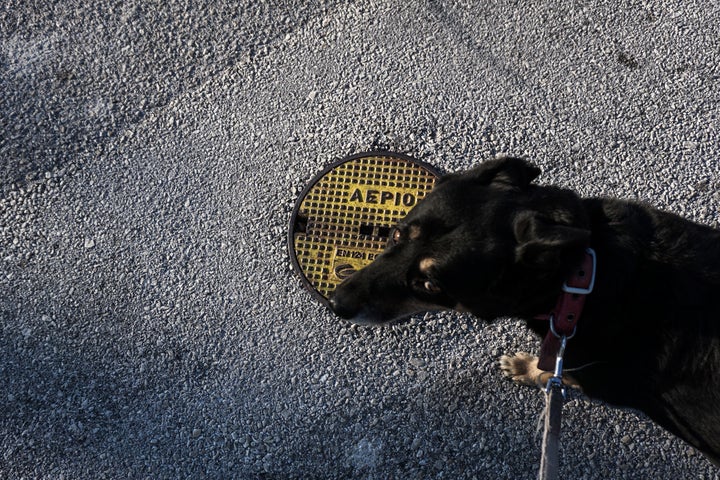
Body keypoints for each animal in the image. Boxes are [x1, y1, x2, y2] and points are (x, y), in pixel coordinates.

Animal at [330, 158, 720, 468]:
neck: (579, 274)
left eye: (429, 285)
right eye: (395, 234)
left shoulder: (592, 376)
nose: (337, 303)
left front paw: (527, 367)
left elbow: (554, 370)